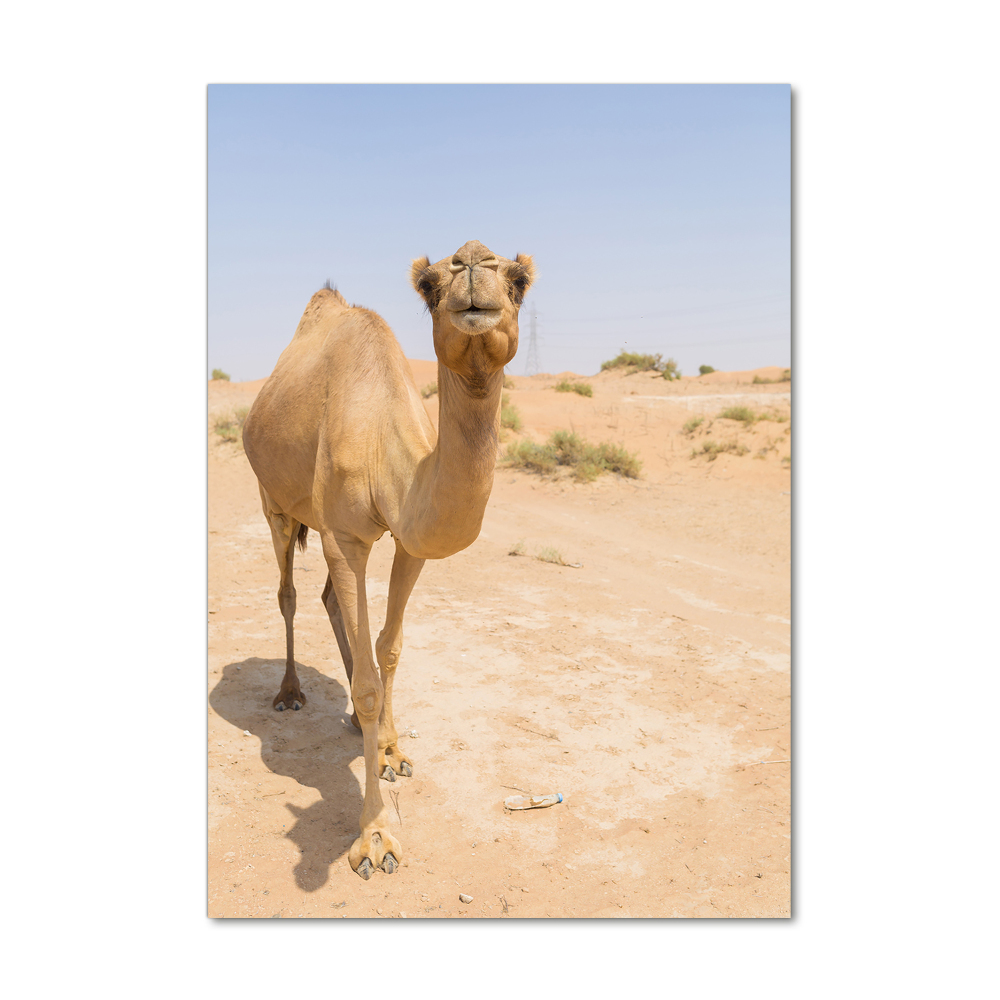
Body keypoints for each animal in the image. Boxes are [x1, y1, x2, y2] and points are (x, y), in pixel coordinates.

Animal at [242, 240, 536, 876]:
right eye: (428, 285)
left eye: (520, 280)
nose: (472, 262)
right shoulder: (344, 537)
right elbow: (370, 681)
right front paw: (375, 837)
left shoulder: (408, 542)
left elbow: (389, 648)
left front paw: (390, 749)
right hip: (275, 502)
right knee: (289, 593)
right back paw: (289, 693)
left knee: (330, 600)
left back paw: (360, 727)